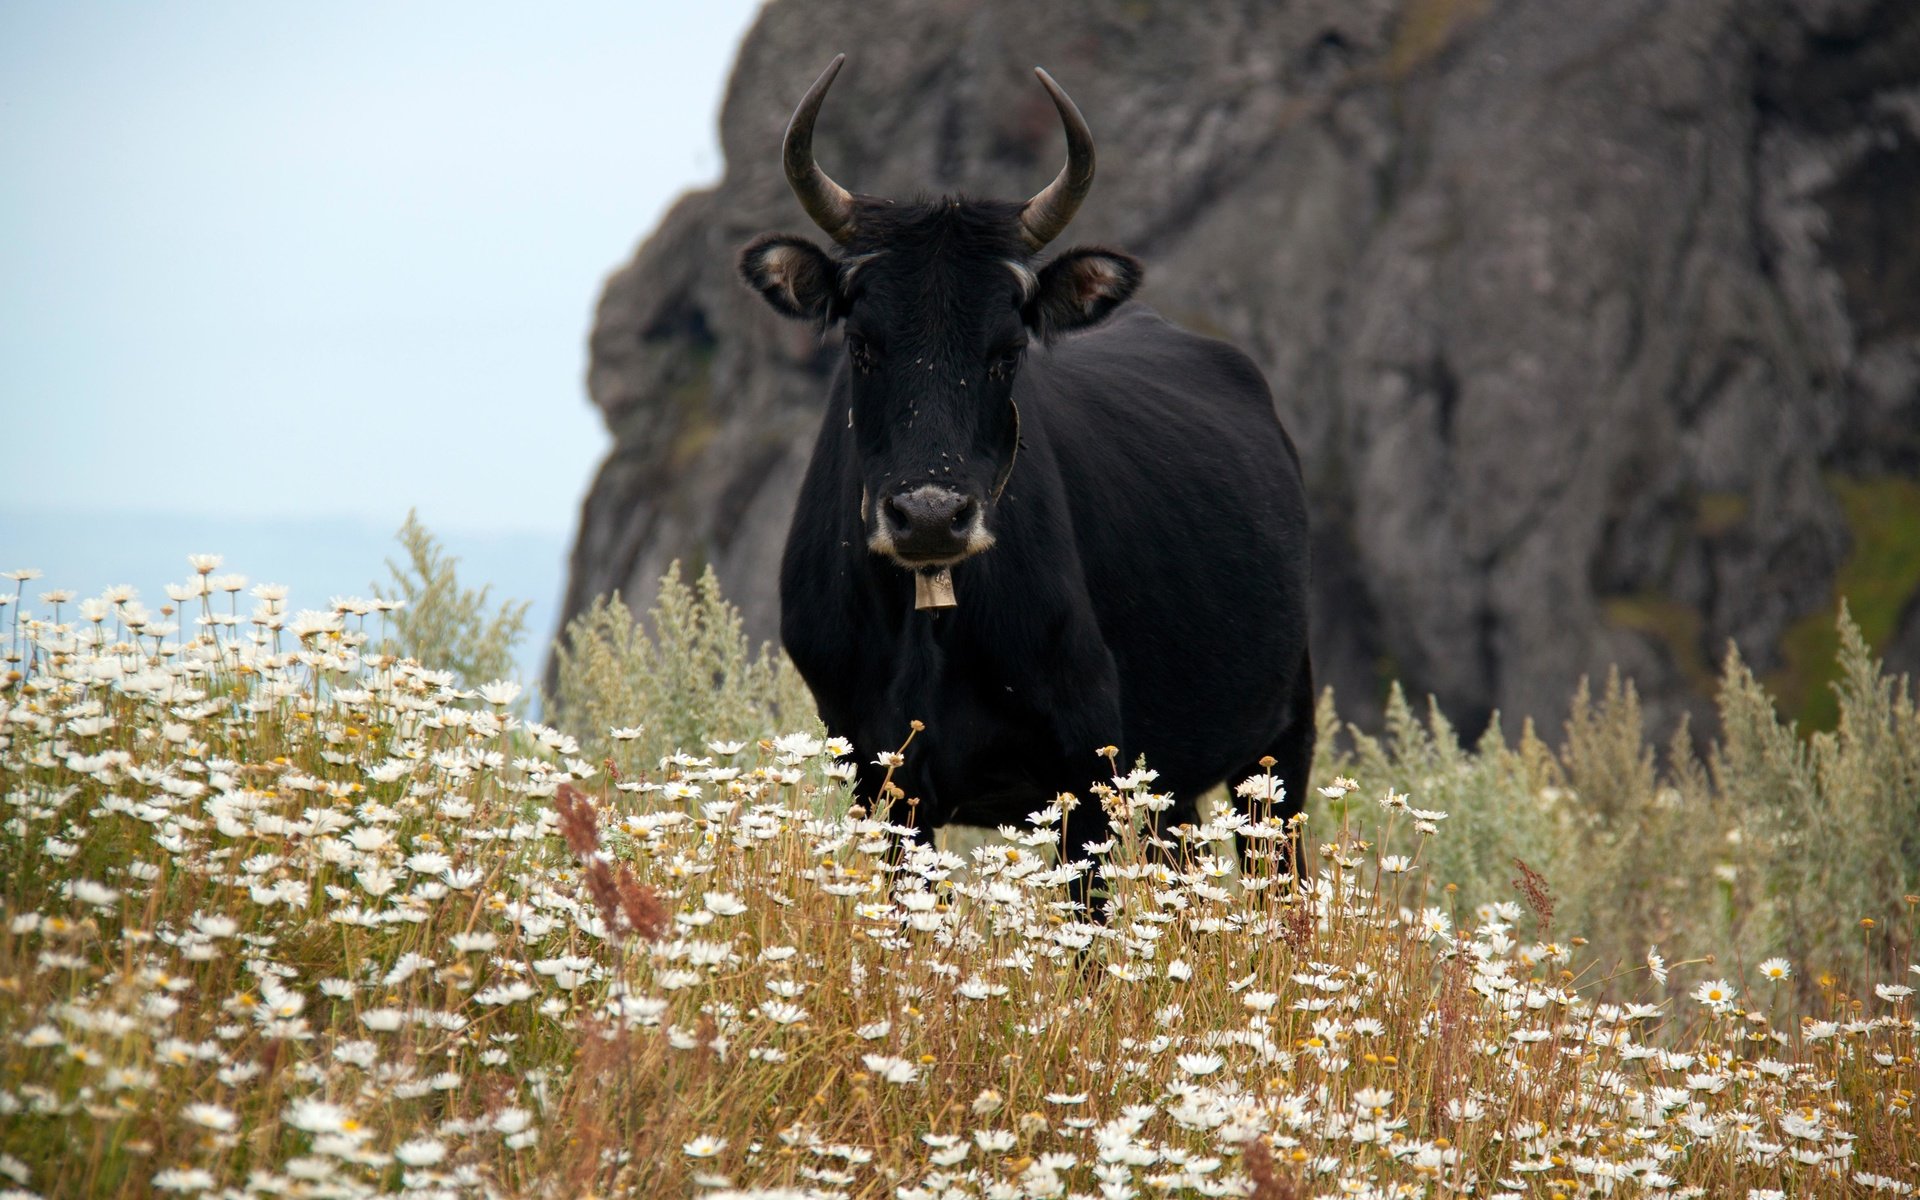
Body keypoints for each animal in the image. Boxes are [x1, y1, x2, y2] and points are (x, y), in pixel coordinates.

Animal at [729, 60, 1305, 890]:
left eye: (1007, 351)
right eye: (863, 344)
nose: (929, 515)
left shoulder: (1086, 769)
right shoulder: (880, 777)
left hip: (1281, 742)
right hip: (1172, 781)